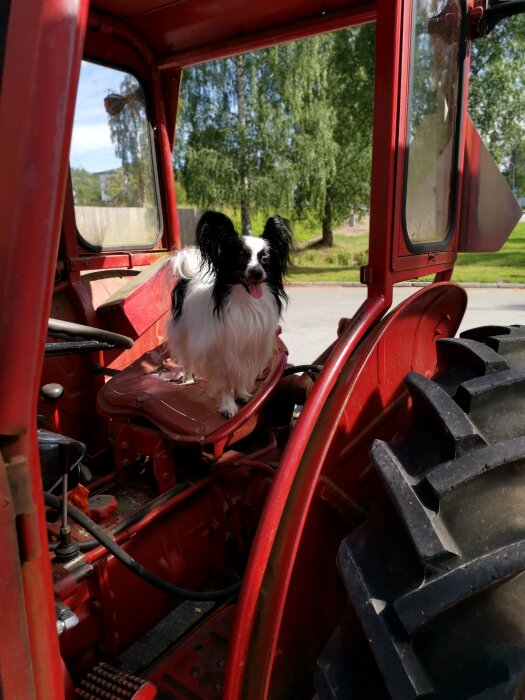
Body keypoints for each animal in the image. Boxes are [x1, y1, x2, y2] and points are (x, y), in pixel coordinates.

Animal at [167, 208, 290, 416]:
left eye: (265, 260)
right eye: (241, 258)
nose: (257, 272)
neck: (246, 302)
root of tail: (190, 277)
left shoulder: (247, 350)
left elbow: (241, 377)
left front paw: (242, 395)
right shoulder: (220, 356)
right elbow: (225, 384)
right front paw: (228, 406)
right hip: (183, 334)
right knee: (187, 359)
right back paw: (188, 379)